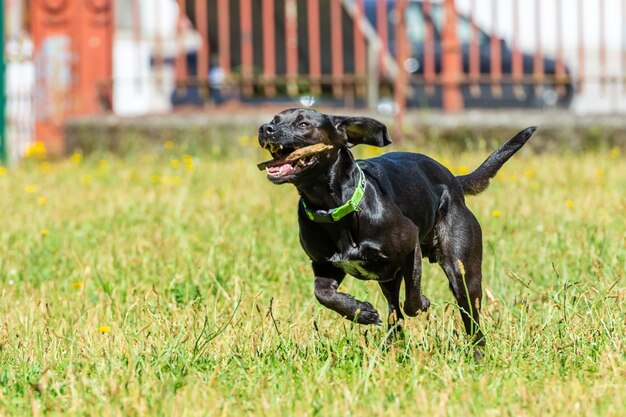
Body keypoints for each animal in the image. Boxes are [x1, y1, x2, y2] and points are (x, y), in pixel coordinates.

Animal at [258, 108, 536, 354]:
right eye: (275, 120)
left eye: (303, 124)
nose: (265, 128)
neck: (336, 209)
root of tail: (455, 181)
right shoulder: (324, 265)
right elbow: (323, 294)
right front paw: (362, 312)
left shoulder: (410, 245)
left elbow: (412, 295)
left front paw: (421, 302)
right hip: (387, 278)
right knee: (394, 312)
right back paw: (392, 347)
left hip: (462, 270)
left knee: (469, 316)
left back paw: (477, 353)